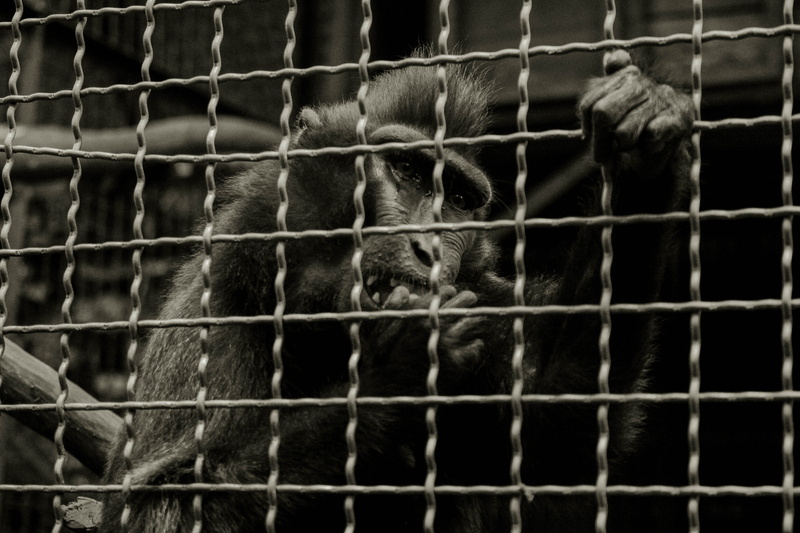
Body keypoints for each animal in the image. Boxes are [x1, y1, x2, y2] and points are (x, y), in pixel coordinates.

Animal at [98, 54, 693, 532]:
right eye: (405, 169)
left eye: (457, 199)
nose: (429, 248)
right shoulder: (216, 305)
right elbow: (158, 508)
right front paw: (398, 373)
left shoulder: (483, 299)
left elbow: (559, 417)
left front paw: (641, 147)